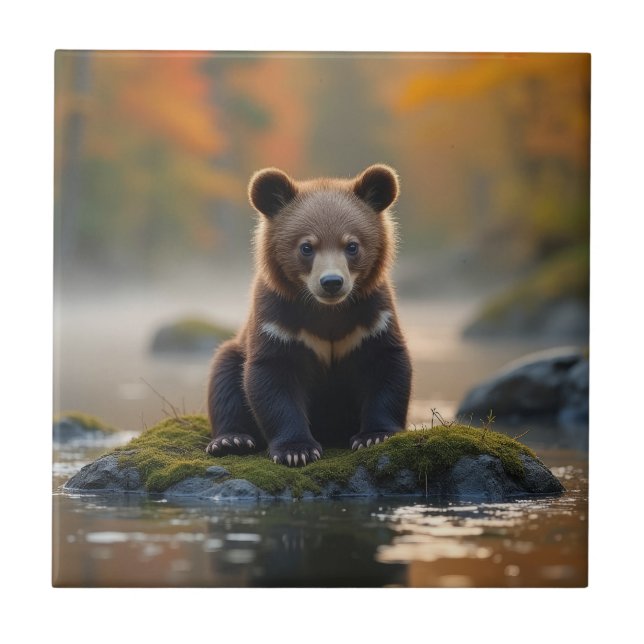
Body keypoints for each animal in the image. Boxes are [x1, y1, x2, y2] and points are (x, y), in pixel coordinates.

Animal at [205, 164, 412, 467]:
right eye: (306, 247)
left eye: (352, 245)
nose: (332, 282)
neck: (327, 311)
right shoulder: (278, 321)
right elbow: (273, 378)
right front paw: (296, 450)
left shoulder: (372, 316)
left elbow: (386, 366)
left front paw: (374, 436)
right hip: (234, 350)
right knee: (224, 376)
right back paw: (231, 440)